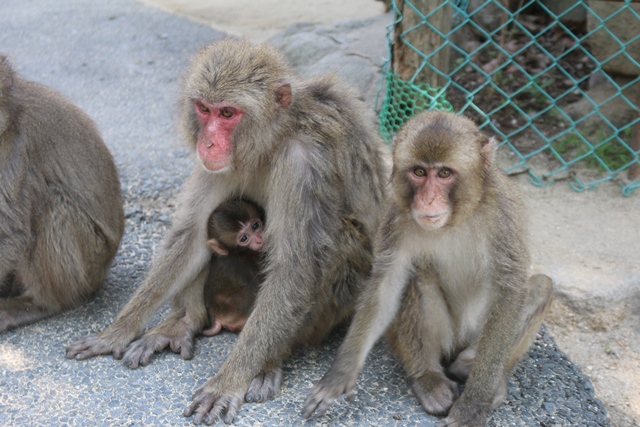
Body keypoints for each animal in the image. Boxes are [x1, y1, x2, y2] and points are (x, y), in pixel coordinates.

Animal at [302, 111, 552, 427]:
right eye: (419, 172)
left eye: (444, 174)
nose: (428, 199)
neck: (456, 219)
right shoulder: (396, 216)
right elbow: (387, 284)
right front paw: (340, 374)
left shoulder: (503, 215)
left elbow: (510, 289)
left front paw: (474, 404)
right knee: (415, 277)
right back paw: (427, 378)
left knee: (539, 287)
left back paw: (475, 369)